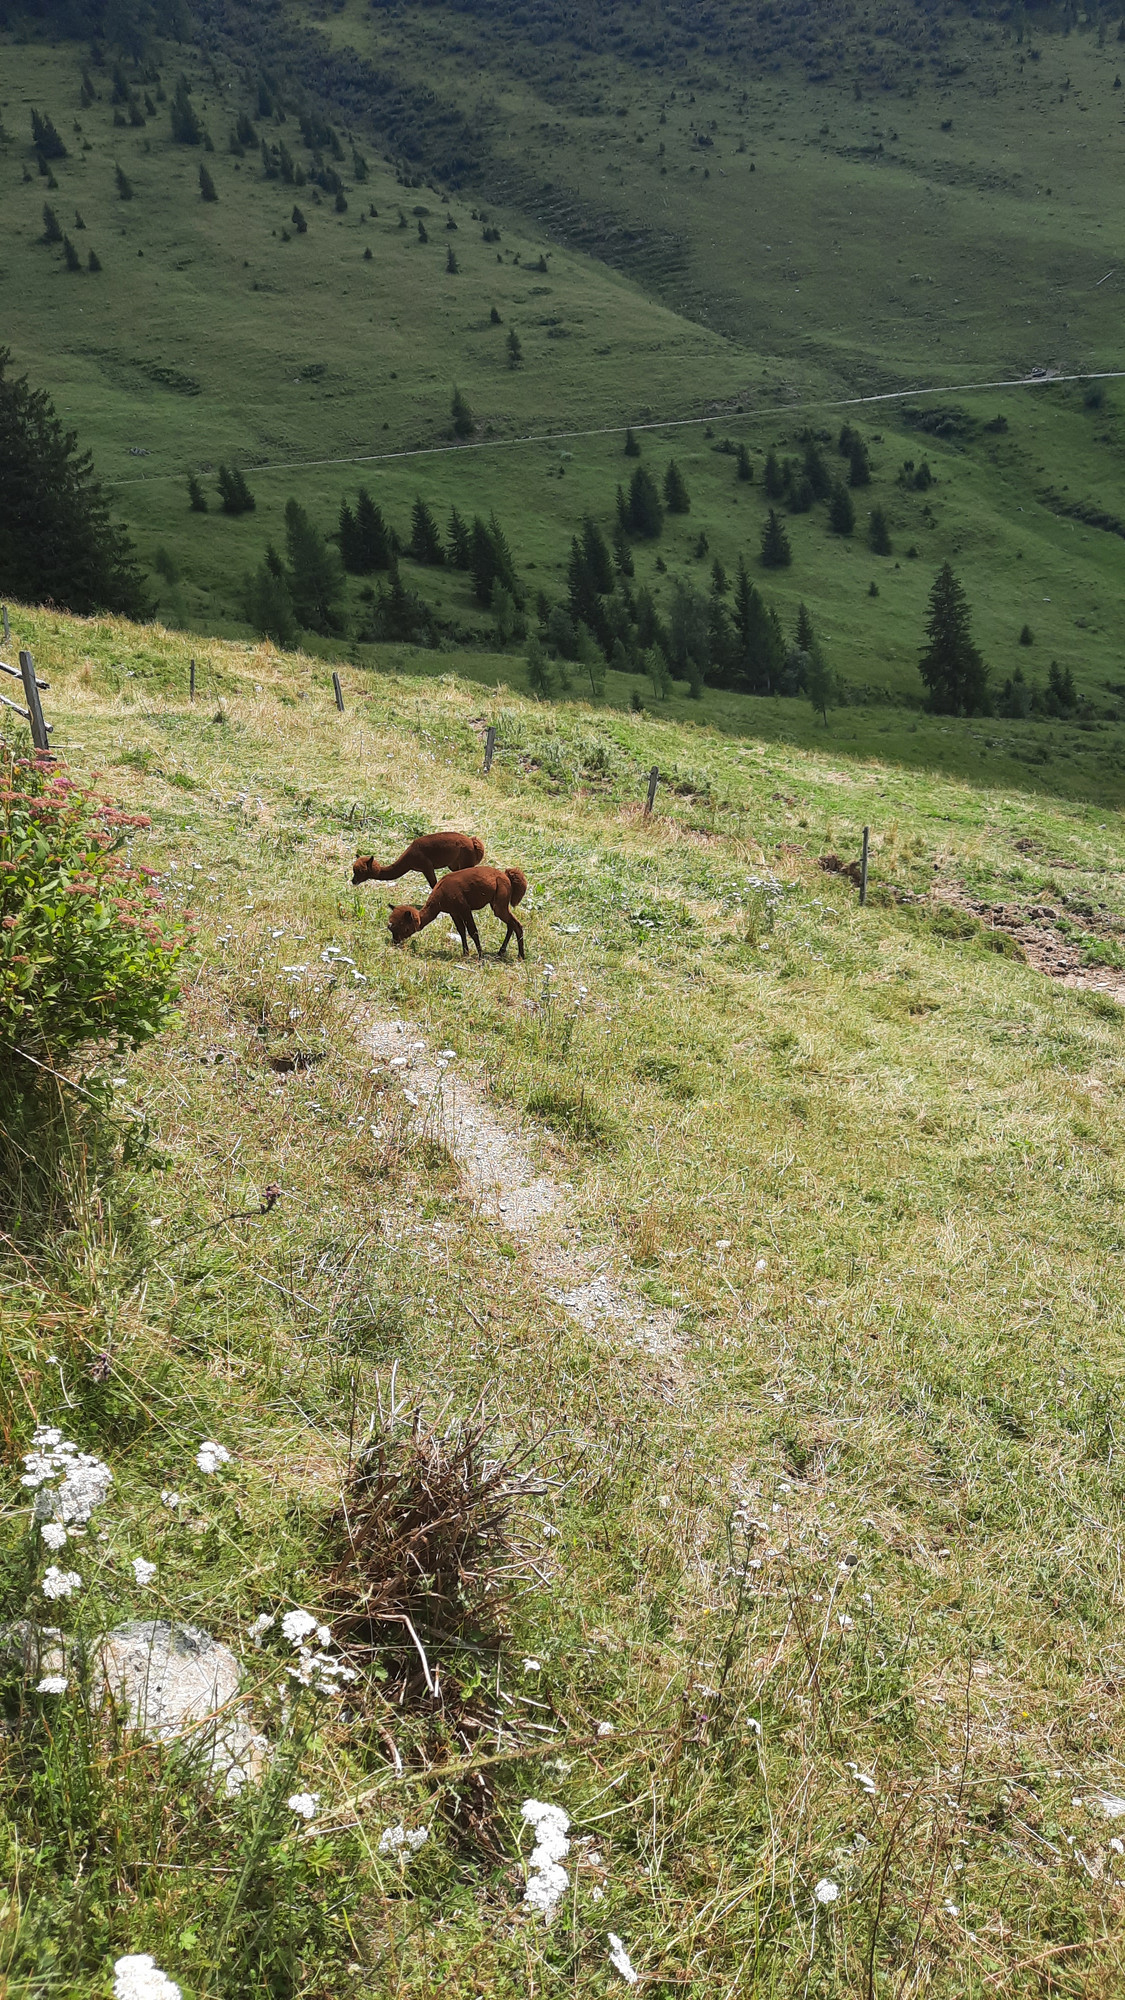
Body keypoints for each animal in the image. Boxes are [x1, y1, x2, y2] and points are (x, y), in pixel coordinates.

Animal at [352, 831, 485, 891]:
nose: (353, 881)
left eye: (361, 872)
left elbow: (434, 884)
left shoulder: (427, 866)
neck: (409, 859)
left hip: (466, 861)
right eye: (354, 871)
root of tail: (472, 842)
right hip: (455, 865)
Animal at [388, 864, 528, 960]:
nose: (395, 942)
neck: (439, 898)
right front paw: (465, 953)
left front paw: (480, 957)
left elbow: (473, 931)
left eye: (403, 928)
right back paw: (501, 952)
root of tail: (506, 876)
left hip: (500, 902)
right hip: (497, 904)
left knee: (516, 924)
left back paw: (520, 955)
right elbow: (461, 931)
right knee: (511, 924)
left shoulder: (464, 908)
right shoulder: (453, 912)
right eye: (390, 928)